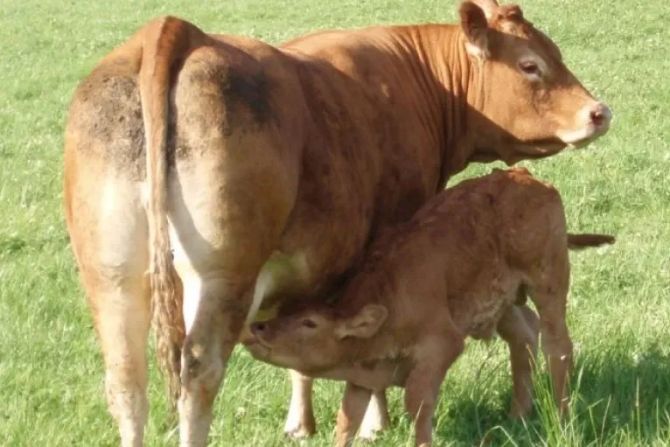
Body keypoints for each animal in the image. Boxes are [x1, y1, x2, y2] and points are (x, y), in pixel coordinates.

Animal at [244, 167, 615, 447]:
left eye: (310, 323)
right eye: (286, 313)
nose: (258, 328)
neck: (389, 298)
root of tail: (526, 176)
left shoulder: (441, 347)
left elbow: (417, 406)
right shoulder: (362, 378)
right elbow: (347, 419)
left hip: (548, 281)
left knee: (558, 346)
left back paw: (562, 415)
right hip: (504, 300)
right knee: (524, 335)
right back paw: (517, 416)